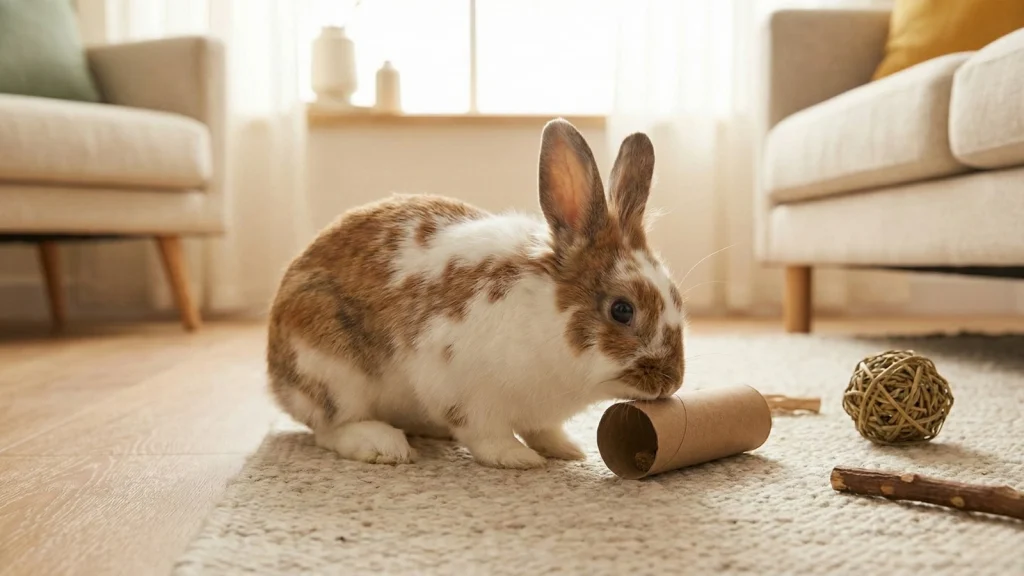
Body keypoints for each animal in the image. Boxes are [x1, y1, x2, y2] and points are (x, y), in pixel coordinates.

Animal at [266, 118, 685, 469]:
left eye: (677, 298)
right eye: (622, 310)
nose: (672, 382)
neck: (544, 316)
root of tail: (276, 377)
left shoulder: (538, 413)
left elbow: (542, 430)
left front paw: (567, 450)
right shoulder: (462, 390)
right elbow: (486, 435)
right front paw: (518, 458)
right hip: (330, 371)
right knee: (329, 427)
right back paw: (383, 444)